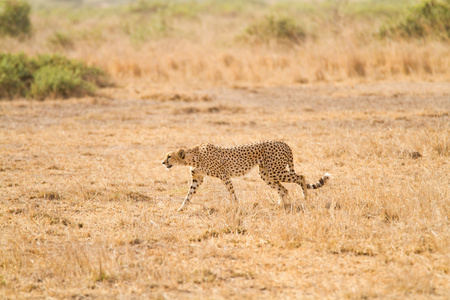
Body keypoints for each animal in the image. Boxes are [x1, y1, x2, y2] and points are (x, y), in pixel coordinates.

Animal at [162, 141, 330, 211]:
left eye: (169, 156)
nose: (163, 162)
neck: (193, 156)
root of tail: (283, 143)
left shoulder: (224, 175)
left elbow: (232, 192)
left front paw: (236, 206)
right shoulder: (198, 178)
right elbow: (189, 194)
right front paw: (181, 208)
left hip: (276, 171)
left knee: (301, 177)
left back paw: (305, 198)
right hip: (266, 173)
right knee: (284, 189)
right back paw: (281, 206)